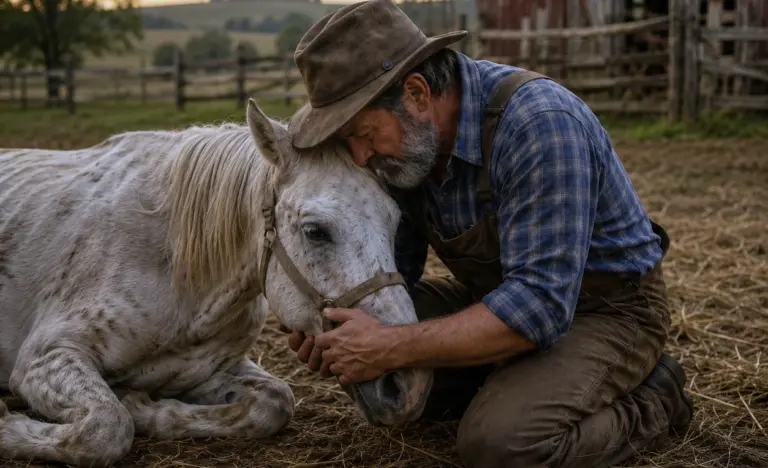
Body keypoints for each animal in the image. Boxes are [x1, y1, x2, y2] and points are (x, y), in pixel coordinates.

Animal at [0, 99, 434, 467]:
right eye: (315, 231)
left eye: (396, 220)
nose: (408, 383)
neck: (177, 271)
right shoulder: (46, 357)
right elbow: (105, 428)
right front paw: (7, 424)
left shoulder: (212, 371)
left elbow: (275, 402)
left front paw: (146, 407)